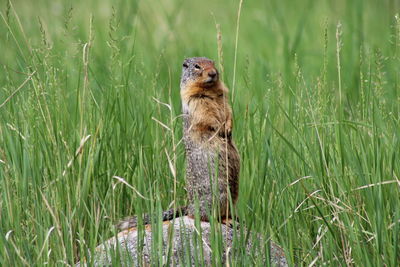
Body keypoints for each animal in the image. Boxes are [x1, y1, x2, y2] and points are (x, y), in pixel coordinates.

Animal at [117, 56, 239, 230]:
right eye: (197, 66)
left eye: (213, 63)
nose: (213, 73)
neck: (209, 90)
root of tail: (189, 206)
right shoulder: (195, 102)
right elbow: (207, 116)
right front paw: (220, 128)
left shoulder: (223, 98)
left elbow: (228, 111)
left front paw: (228, 127)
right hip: (220, 192)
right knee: (204, 216)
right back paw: (225, 220)